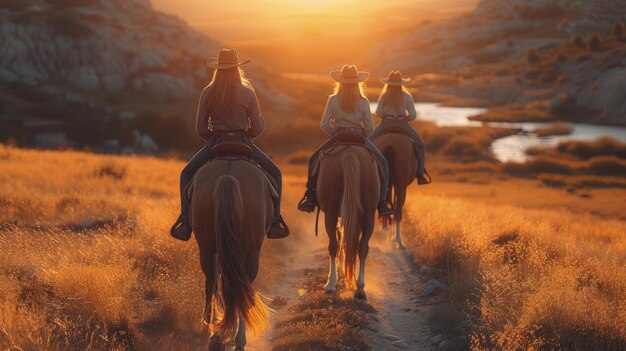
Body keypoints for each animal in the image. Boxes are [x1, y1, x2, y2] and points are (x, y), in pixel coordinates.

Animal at [188, 159, 270, 351]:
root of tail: (228, 175)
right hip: (250, 252)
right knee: (240, 290)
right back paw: (236, 338)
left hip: (207, 248)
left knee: (213, 283)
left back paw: (216, 336)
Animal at [314, 145, 378, 300]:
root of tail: (350, 153)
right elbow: (352, 245)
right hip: (368, 216)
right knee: (362, 247)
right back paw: (360, 288)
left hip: (330, 214)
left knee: (333, 246)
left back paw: (331, 284)